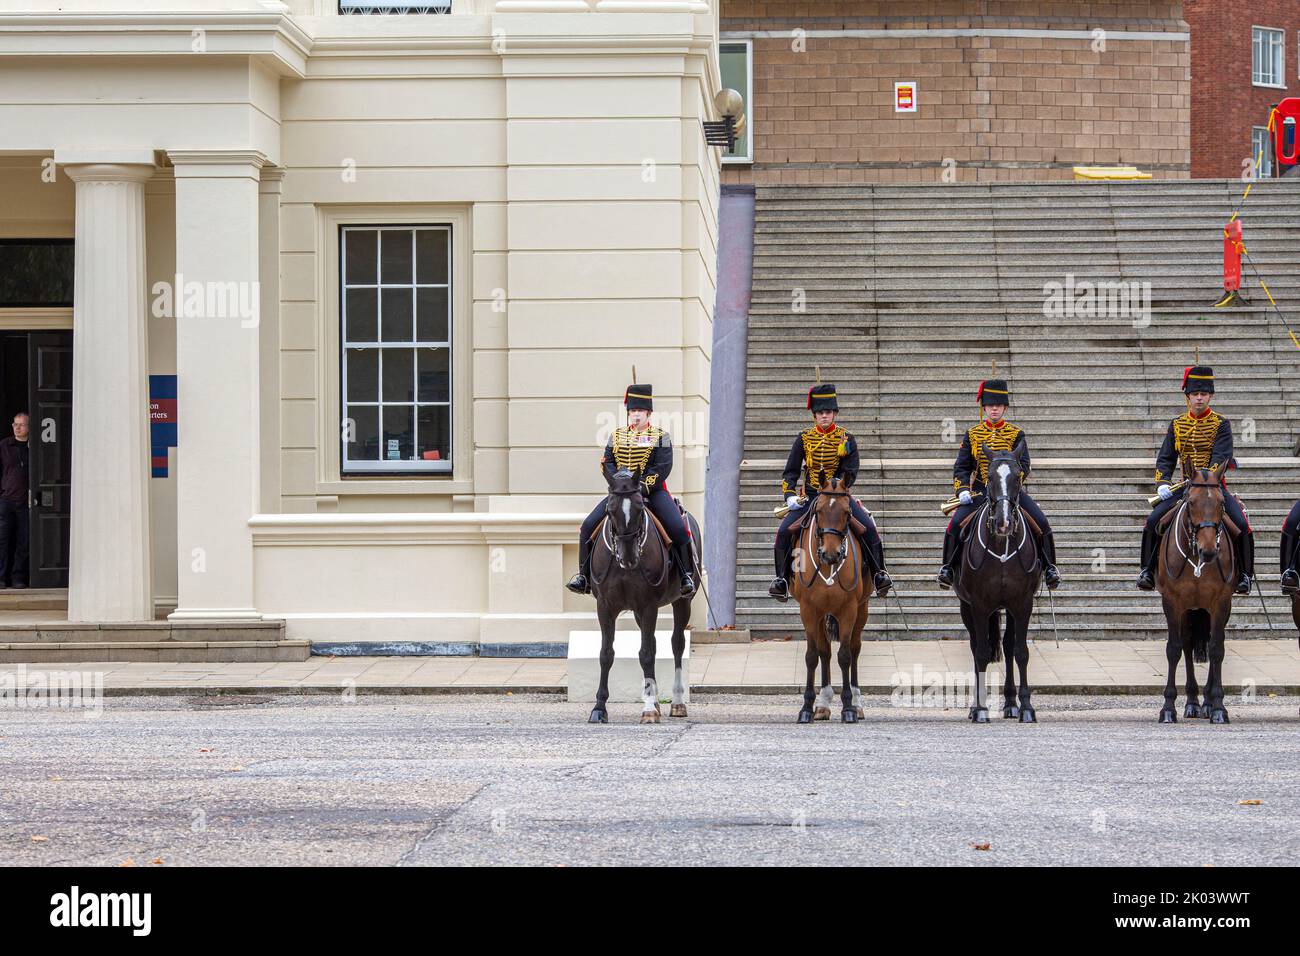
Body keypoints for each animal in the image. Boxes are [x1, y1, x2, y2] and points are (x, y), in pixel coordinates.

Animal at [585, 470, 696, 723]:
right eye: (610, 509)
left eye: (639, 507)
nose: (629, 558)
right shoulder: (605, 606)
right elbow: (606, 654)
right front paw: (599, 708)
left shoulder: (648, 605)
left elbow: (645, 654)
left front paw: (648, 710)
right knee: (653, 644)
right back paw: (655, 701)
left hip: (682, 601)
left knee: (676, 644)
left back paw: (676, 703)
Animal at [785, 478, 868, 723]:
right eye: (819, 510)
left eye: (847, 512)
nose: (830, 554)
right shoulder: (809, 611)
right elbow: (813, 655)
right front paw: (806, 707)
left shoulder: (849, 610)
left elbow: (845, 656)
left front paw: (848, 707)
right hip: (821, 614)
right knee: (825, 651)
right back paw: (822, 704)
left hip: (863, 608)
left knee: (855, 649)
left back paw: (857, 703)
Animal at [951, 450, 1040, 723]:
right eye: (989, 477)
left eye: (1017, 477)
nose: (1003, 523)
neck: (1001, 546)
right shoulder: (979, 605)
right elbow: (981, 653)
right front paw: (980, 709)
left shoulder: (1023, 604)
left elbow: (1021, 651)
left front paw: (1026, 707)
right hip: (966, 607)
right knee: (975, 647)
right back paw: (974, 707)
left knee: (1009, 647)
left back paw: (1010, 703)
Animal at [1159, 463, 1237, 723]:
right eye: (1191, 501)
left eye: (1221, 503)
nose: (1209, 551)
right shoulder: (1172, 602)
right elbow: (1174, 649)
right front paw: (1168, 708)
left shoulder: (1221, 602)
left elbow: (1216, 649)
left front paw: (1219, 707)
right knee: (1187, 643)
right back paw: (1192, 702)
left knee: (1213, 641)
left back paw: (1207, 703)